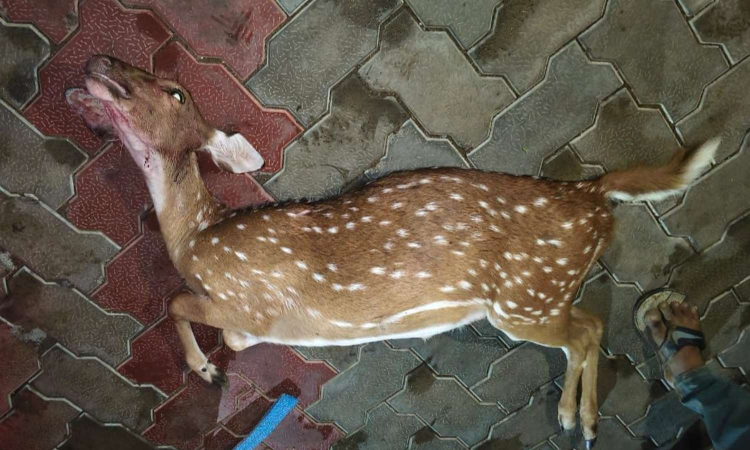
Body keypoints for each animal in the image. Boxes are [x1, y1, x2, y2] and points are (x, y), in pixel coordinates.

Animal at [67, 55, 718, 447]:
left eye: (175, 91)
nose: (100, 63)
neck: (200, 235)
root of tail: (592, 196)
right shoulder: (250, 318)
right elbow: (217, 328)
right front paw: (214, 360)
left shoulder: (250, 298)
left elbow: (175, 303)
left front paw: (204, 370)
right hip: (543, 293)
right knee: (590, 324)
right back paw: (580, 418)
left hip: (524, 299)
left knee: (585, 331)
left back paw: (574, 417)